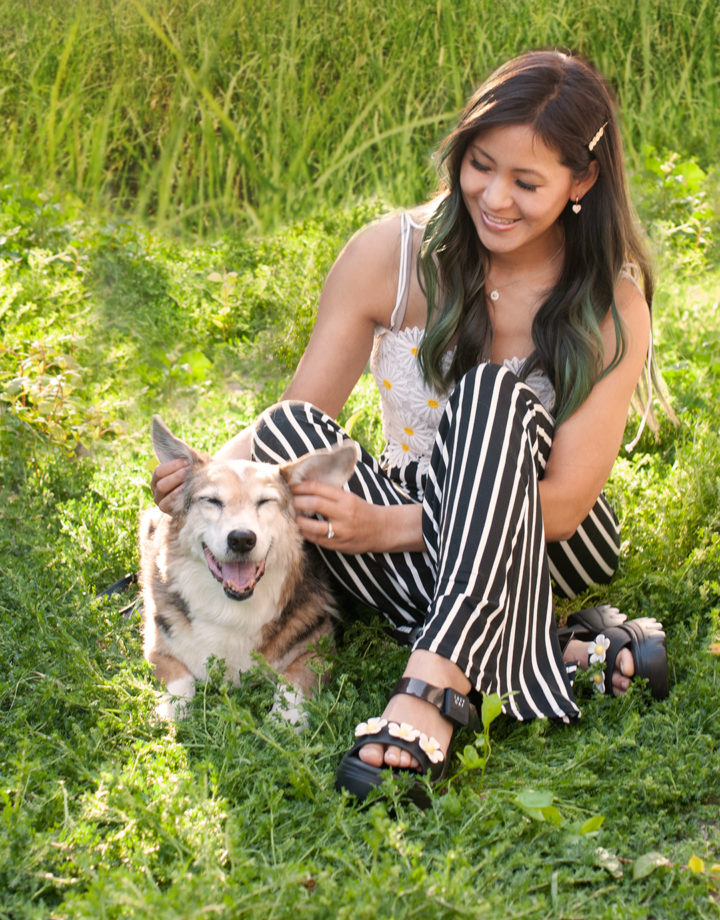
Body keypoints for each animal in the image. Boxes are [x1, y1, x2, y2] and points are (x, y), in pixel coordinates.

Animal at [138, 414, 358, 724]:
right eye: (212, 501)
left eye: (265, 502)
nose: (241, 539)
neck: (230, 610)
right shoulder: (157, 649)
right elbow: (180, 681)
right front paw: (172, 711)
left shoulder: (317, 650)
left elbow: (293, 686)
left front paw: (284, 720)